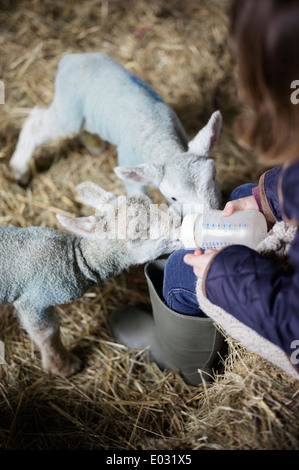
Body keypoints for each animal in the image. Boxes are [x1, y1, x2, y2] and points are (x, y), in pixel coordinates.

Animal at [0, 182, 182, 376]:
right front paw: (63, 366)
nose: (181, 223)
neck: (74, 261)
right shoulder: (33, 302)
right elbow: (48, 333)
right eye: (138, 230)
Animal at [9, 52, 223, 212]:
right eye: (173, 198)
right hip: (68, 112)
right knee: (35, 123)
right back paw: (19, 169)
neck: (160, 141)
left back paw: (95, 145)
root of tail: (70, 59)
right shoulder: (131, 168)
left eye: (213, 176)